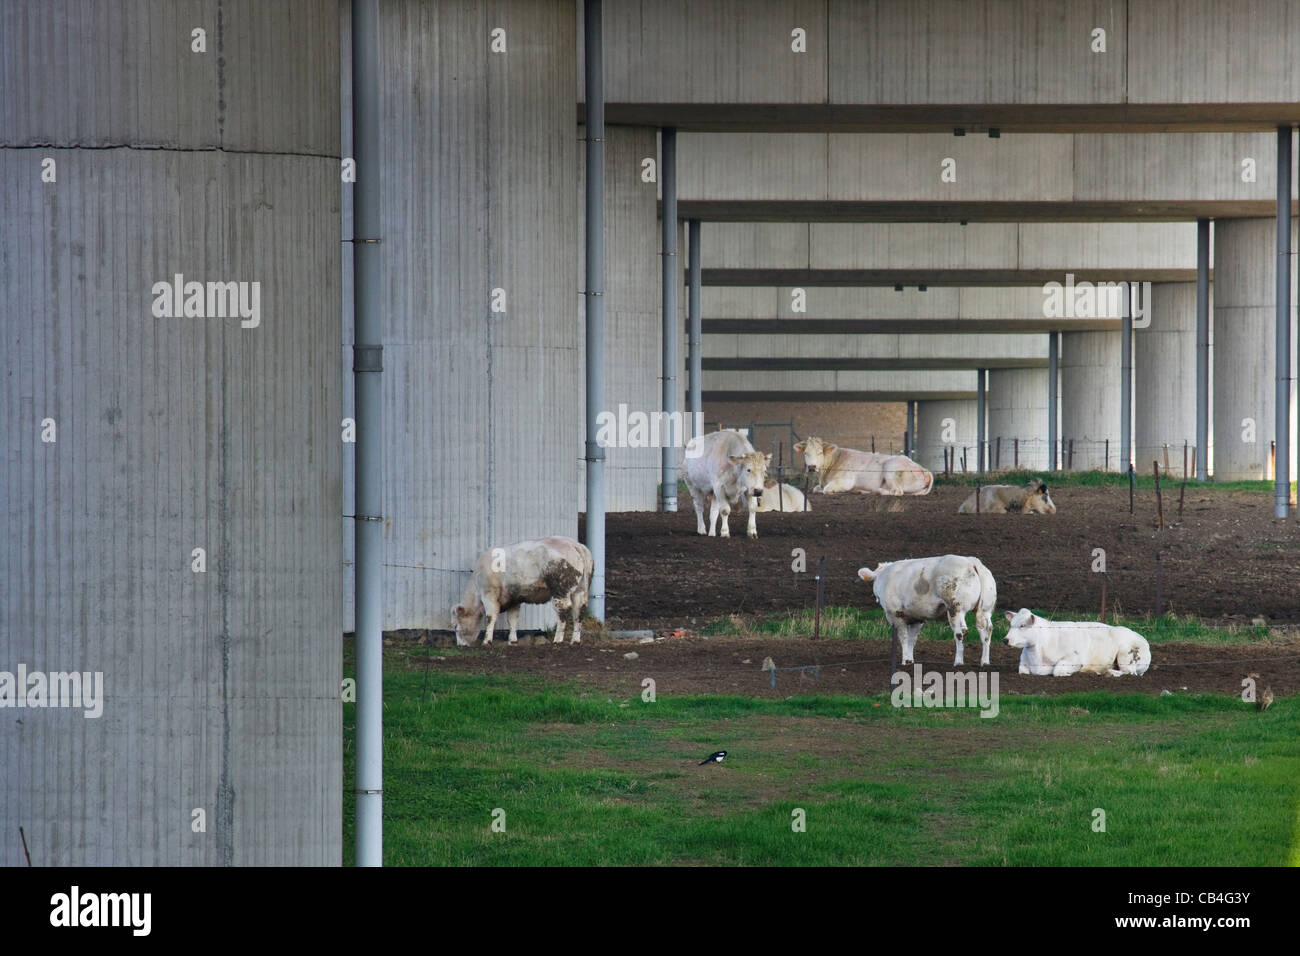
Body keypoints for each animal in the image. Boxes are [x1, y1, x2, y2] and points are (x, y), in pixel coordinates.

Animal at [447, 535, 590, 647]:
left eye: (455, 626)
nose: (460, 645)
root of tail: (574, 544)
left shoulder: (489, 594)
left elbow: (491, 617)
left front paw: (487, 641)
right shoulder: (514, 599)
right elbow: (512, 619)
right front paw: (513, 641)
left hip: (560, 591)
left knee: (563, 611)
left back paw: (558, 640)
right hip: (580, 590)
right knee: (579, 611)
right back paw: (575, 640)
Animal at [790, 437, 935, 496]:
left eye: (820, 452)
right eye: (805, 453)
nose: (811, 467)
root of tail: (924, 469)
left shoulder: (845, 481)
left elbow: (826, 490)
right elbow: (816, 489)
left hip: (891, 468)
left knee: (897, 492)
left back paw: (876, 491)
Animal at [857, 554, 998, 665]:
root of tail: (971, 561)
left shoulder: (896, 614)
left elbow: (903, 637)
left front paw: (904, 660)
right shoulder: (917, 617)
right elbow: (912, 639)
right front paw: (910, 661)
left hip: (955, 608)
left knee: (960, 632)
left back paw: (958, 662)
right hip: (985, 609)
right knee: (986, 630)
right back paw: (985, 662)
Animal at [998, 608, 1154, 676]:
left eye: (1022, 625)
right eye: (1011, 624)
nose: (1005, 640)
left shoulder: (1074, 659)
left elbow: (1058, 671)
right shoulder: (1023, 664)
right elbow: (1022, 671)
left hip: (1125, 655)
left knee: (1129, 672)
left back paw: (1105, 672)